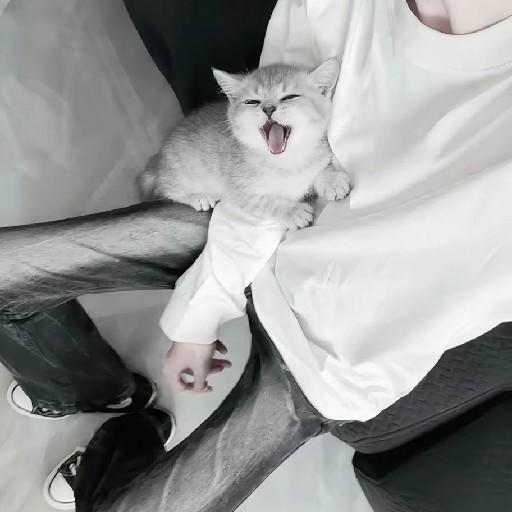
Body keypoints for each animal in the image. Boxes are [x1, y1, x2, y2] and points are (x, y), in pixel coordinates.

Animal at [137, 58, 351, 229]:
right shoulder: (240, 193)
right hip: (181, 173)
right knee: (167, 188)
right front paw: (294, 212)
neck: (286, 162)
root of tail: (159, 158)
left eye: (290, 97)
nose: (268, 108)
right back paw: (197, 196)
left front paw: (331, 180)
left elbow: (317, 170)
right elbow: (268, 202)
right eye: (252, 101)